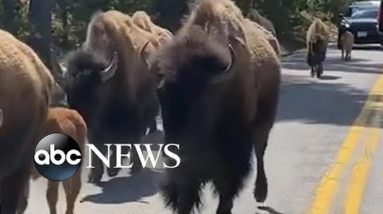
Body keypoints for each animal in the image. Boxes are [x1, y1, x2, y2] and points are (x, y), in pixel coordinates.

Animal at [151, 0, 282, 212]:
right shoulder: (187, 172)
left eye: (202, 101)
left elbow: (226, 191)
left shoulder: (232, 158)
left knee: (260, 150)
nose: (176, 152)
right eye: (161, 96)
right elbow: (186, 196)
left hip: (264, 121)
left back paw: (261, 193)